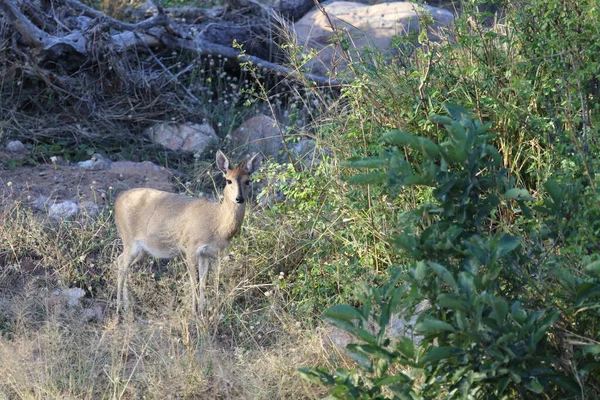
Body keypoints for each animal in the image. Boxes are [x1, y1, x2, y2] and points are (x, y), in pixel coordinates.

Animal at [115, 151, 260, 316]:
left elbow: (203, 282)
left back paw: (127, 307)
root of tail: (117, 200)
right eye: (228, 180)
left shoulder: (208, 253)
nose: (239, 198)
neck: (216, 222)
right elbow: (194, 282)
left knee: (122, 263)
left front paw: (203, 311)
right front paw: (194, 313)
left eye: (248, 181)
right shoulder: (190, 247)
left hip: (142, 250)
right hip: (129, 240)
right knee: (121, 263)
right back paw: (119, 308)